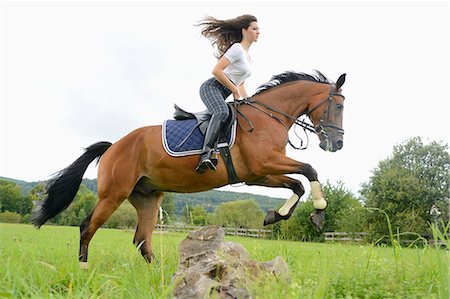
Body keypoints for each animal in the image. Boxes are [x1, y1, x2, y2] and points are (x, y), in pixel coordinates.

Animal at [31, 70, 346, 270]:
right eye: (340, 106)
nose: (338, 143)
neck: (268, 116)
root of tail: (113, 146)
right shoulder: (262, 166)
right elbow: (309, 170)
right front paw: (318, 213)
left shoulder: (259, 174)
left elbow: (298, 183)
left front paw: (277, 215)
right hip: (114, 194)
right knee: (88, 227)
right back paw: (84, 269)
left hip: (147, 197)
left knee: (142, 240)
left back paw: (161, 274)